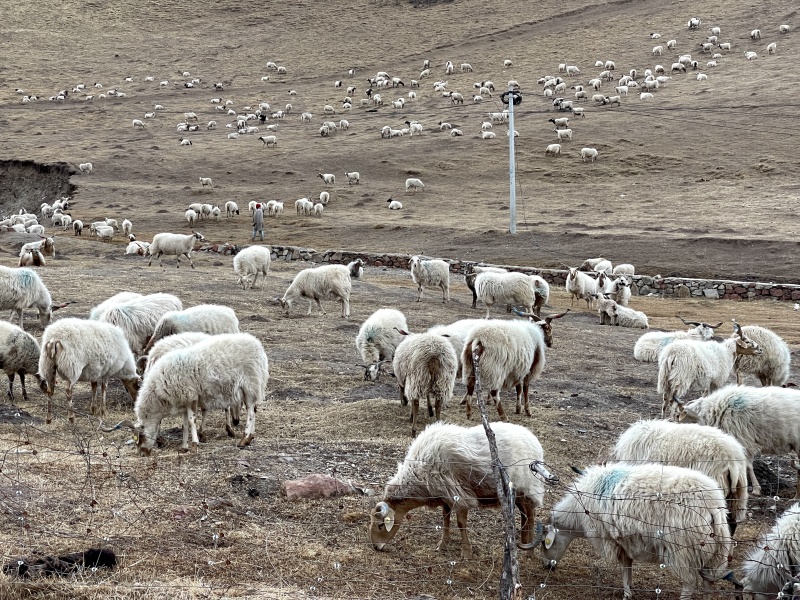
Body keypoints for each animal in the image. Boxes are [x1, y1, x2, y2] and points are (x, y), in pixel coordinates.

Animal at [103, 330, 268, 452]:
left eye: (140, 435)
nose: (143, 453)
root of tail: (257, 344)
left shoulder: (191, 395)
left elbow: (191, 420)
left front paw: (194, 444)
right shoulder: (185, 399)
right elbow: (186, 422)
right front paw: (185, 445)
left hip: (250, 384)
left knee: (251, 411)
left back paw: (244, 438)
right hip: (248, 387)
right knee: (252, 408)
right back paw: (249, 437)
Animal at [372, 422, 548, 556]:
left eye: (380, 525)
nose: (376, 547)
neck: (418, 474)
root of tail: (534, 441)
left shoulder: (459, 495)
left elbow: (460, 522)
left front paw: (466, 552)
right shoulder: (445, 495)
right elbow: (445, 519)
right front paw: (442, 545)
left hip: (527, 487)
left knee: (531, 516)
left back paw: (529, 551)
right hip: (516, 494)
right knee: (525, 516)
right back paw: (524, 543)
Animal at [520, 464, 740, 600]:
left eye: (544, 542)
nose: (547, 566)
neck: (579, 511)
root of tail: (713, 506)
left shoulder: (614, 539)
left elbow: (624, 567)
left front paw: (627, 593)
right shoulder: (626, 539)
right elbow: (628, 566)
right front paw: (630, 588)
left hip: (683, 550)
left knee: (689, 583)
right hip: (714, 550)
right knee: (708, 584)